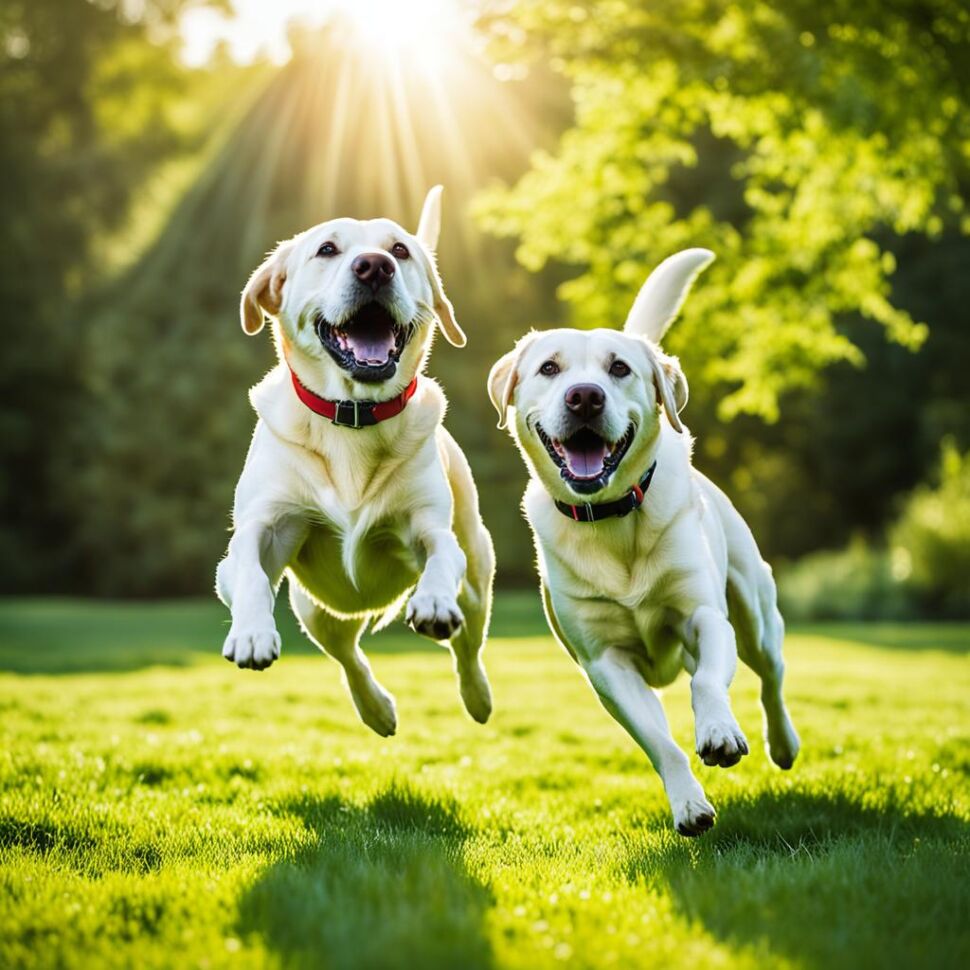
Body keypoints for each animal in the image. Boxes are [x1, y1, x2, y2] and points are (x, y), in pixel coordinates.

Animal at [488, 250, 796, 832]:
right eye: (549, 369)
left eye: (619, 368)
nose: (585, 397)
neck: (612, 515)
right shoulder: (605, 663)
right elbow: (659, 742)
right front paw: (689, 803)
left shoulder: (704, 616)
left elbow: (707, 685)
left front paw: (719, 732)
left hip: (755, 612)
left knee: (770, 675)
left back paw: (783, 743)